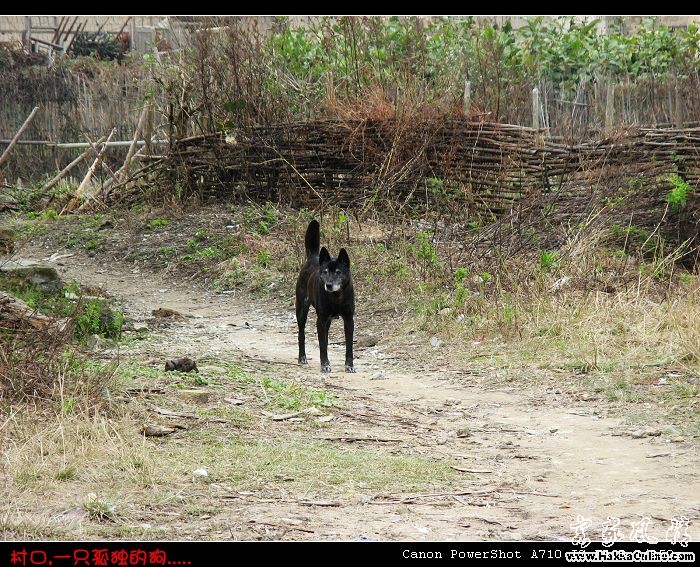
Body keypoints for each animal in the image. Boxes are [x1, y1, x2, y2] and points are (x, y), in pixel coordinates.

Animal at [296, 221, 356, 372]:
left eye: (338, 272)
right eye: (325, 272)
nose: (328, 285)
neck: (336, 296)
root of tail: (313, 257)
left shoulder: (349, 320)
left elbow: (349, 346)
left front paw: (349, 365)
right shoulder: (321, 320)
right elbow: (322, 344)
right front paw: (325, 364)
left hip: (328, 320)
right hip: (301, 310)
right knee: (301, 334)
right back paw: (302, 357)